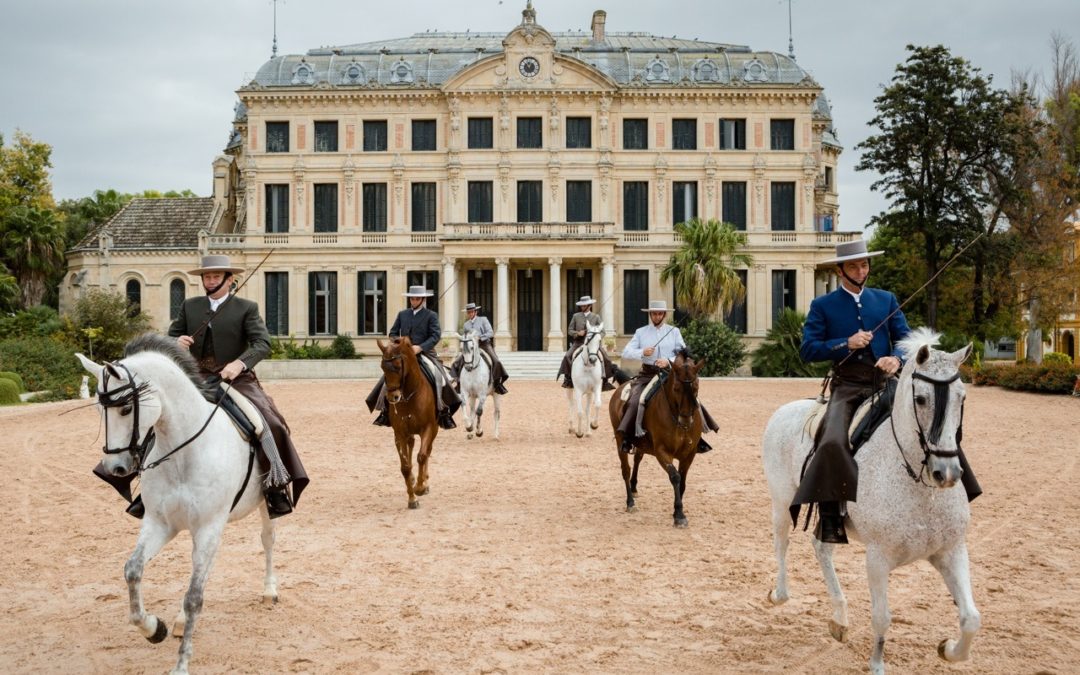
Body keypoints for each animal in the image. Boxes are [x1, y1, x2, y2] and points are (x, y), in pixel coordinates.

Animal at [76, 332, 278, 673]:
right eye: (99, 412)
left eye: (126, 409)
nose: (114, 468)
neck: (182, 449)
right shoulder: (160, 523)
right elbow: (133, 570)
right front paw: (152, 628)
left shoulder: (208, 527)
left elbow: (194, 597)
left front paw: (181, 664)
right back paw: (180, 622)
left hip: (264, 505)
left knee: (266, 540)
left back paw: (269, 591)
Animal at [380, 334, 438, 507]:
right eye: (382, 367)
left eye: (398, 367)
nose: (393, 397)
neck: (410, 396)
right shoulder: (399, 432)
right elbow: (405, 466)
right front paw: (412, 498)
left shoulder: (428, 428)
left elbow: (422, 456)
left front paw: (420, 487)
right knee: (411, 444)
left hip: (434, 430)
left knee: (427, 451)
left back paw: (424, 482)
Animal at [609, 349, 708, 529]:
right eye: (676, 388)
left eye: (696, 386)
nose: (686, 421)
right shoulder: (662, 452)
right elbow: (675, 477)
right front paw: (679, 514)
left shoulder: (689, 454)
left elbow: (683, 481)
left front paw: (676, 511)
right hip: (620, 441)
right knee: (625, 469)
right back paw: (630, 502)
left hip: (641, 444)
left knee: (637, 460)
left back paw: (634, 487)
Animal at [760, 324, 980, 669]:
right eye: (920, 399)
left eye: (962, 397)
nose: (946, 473)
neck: (918, 486)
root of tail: (786, 409)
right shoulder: (878, 558)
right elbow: (882, 617)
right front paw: (877, 664)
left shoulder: (951, 550)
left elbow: (971, 618)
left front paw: (948, 649)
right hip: (781, 503)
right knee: (781, 542)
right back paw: (780, 594)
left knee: (821, 549)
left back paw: (839, 619)